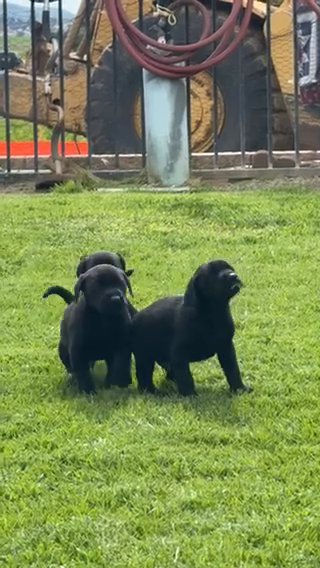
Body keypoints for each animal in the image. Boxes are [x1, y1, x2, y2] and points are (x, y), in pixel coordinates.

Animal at [57, 264, 132, 392]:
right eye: (97, 285)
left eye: (121, 283)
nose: (116, 298)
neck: (103, 318)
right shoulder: (78, 350)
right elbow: (83, 372)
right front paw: (88, 391)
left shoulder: (123, 344)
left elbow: (120, 364)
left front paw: (118, 383)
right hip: (63, 350)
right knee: (70, 367)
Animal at [131, 260, 251, 398]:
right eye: (212, 273)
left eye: (230, 268)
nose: (233, 276)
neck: (212, 313)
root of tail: (134, 317)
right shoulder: (179, 353)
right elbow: (185, 376)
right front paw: (190, 395)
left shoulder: (226, 347)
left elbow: (232, 369)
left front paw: (239, 389)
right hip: (144, 355)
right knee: (144, 374)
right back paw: (151, 391)